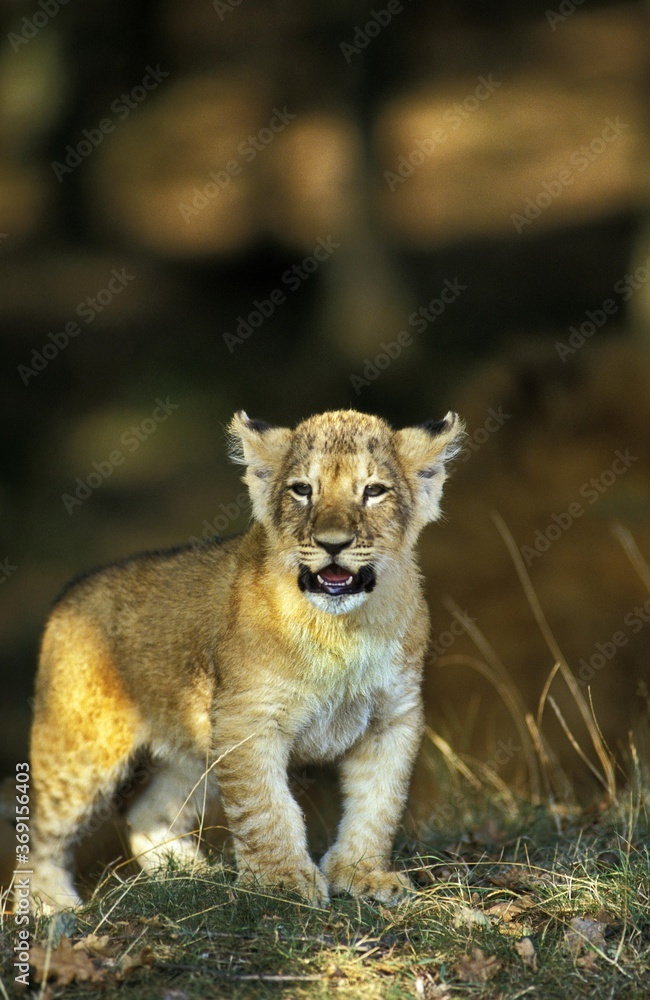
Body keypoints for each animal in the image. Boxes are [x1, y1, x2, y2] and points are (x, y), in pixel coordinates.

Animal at [28, 408, 463, 911]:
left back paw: (192, 877)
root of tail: (66, 600)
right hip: (79, 753)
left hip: (190, 750)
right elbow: (267, 808)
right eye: (302, 489)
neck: (343, 631)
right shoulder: (247, 719)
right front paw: (282, 882)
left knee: (145, 812)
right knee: (43, 841)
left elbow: (379, 804)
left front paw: (362, 874)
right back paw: (54, 906)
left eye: (373, 491)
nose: (333, 543)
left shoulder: (393, 718)